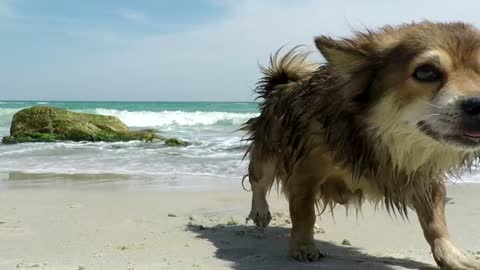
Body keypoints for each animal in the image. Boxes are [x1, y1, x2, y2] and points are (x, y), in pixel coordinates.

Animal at [244, 21, 480, 270]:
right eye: (426, 72)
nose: (478, 104)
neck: (380, 140)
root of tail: (280, 84)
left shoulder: (423, 176)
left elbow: (435, 221)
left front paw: (450, 254)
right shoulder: (305, 171)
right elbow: (304, 212)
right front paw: (303, 245)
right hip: (268, 151)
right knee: (258, 180)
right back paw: (260, 210)